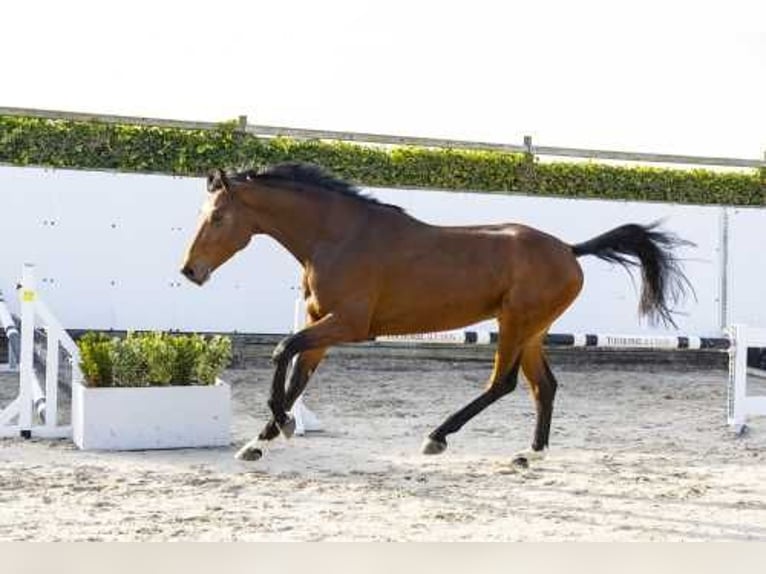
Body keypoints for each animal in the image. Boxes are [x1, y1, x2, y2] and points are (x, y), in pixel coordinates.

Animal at [182, 161, 696, 464]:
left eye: (218, 217)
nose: (190, 271)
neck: (337, 236)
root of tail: (570, 250)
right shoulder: (320, 325)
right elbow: (296, 374)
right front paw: (263, 438)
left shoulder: (347, 325)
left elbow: (280, 353)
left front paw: (282, 427)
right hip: (531, 329)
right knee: (543, 386)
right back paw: (529, 454)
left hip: (516, 324)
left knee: (504, 383)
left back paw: (438, 436)